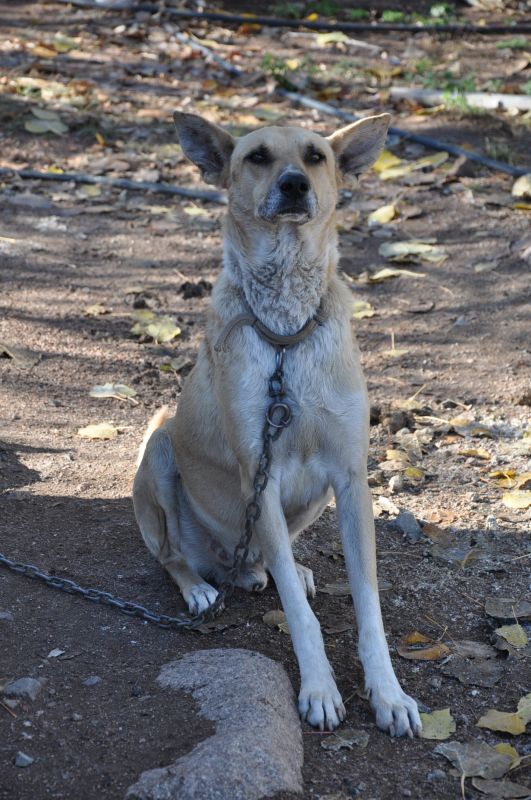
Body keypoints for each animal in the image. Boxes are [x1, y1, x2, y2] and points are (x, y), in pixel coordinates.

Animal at [134, 108, 424, 736]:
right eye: (258, 157)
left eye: (316, 156)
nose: (294, 184)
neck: (287, 333)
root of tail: (226, 562)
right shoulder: (258, 478)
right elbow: (297, 611)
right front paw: (319, 689)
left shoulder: (351, 479)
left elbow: (369, 607)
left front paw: (389, 694)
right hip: (160, 453)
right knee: (173, 558)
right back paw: (200, 588)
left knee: (274, 556)